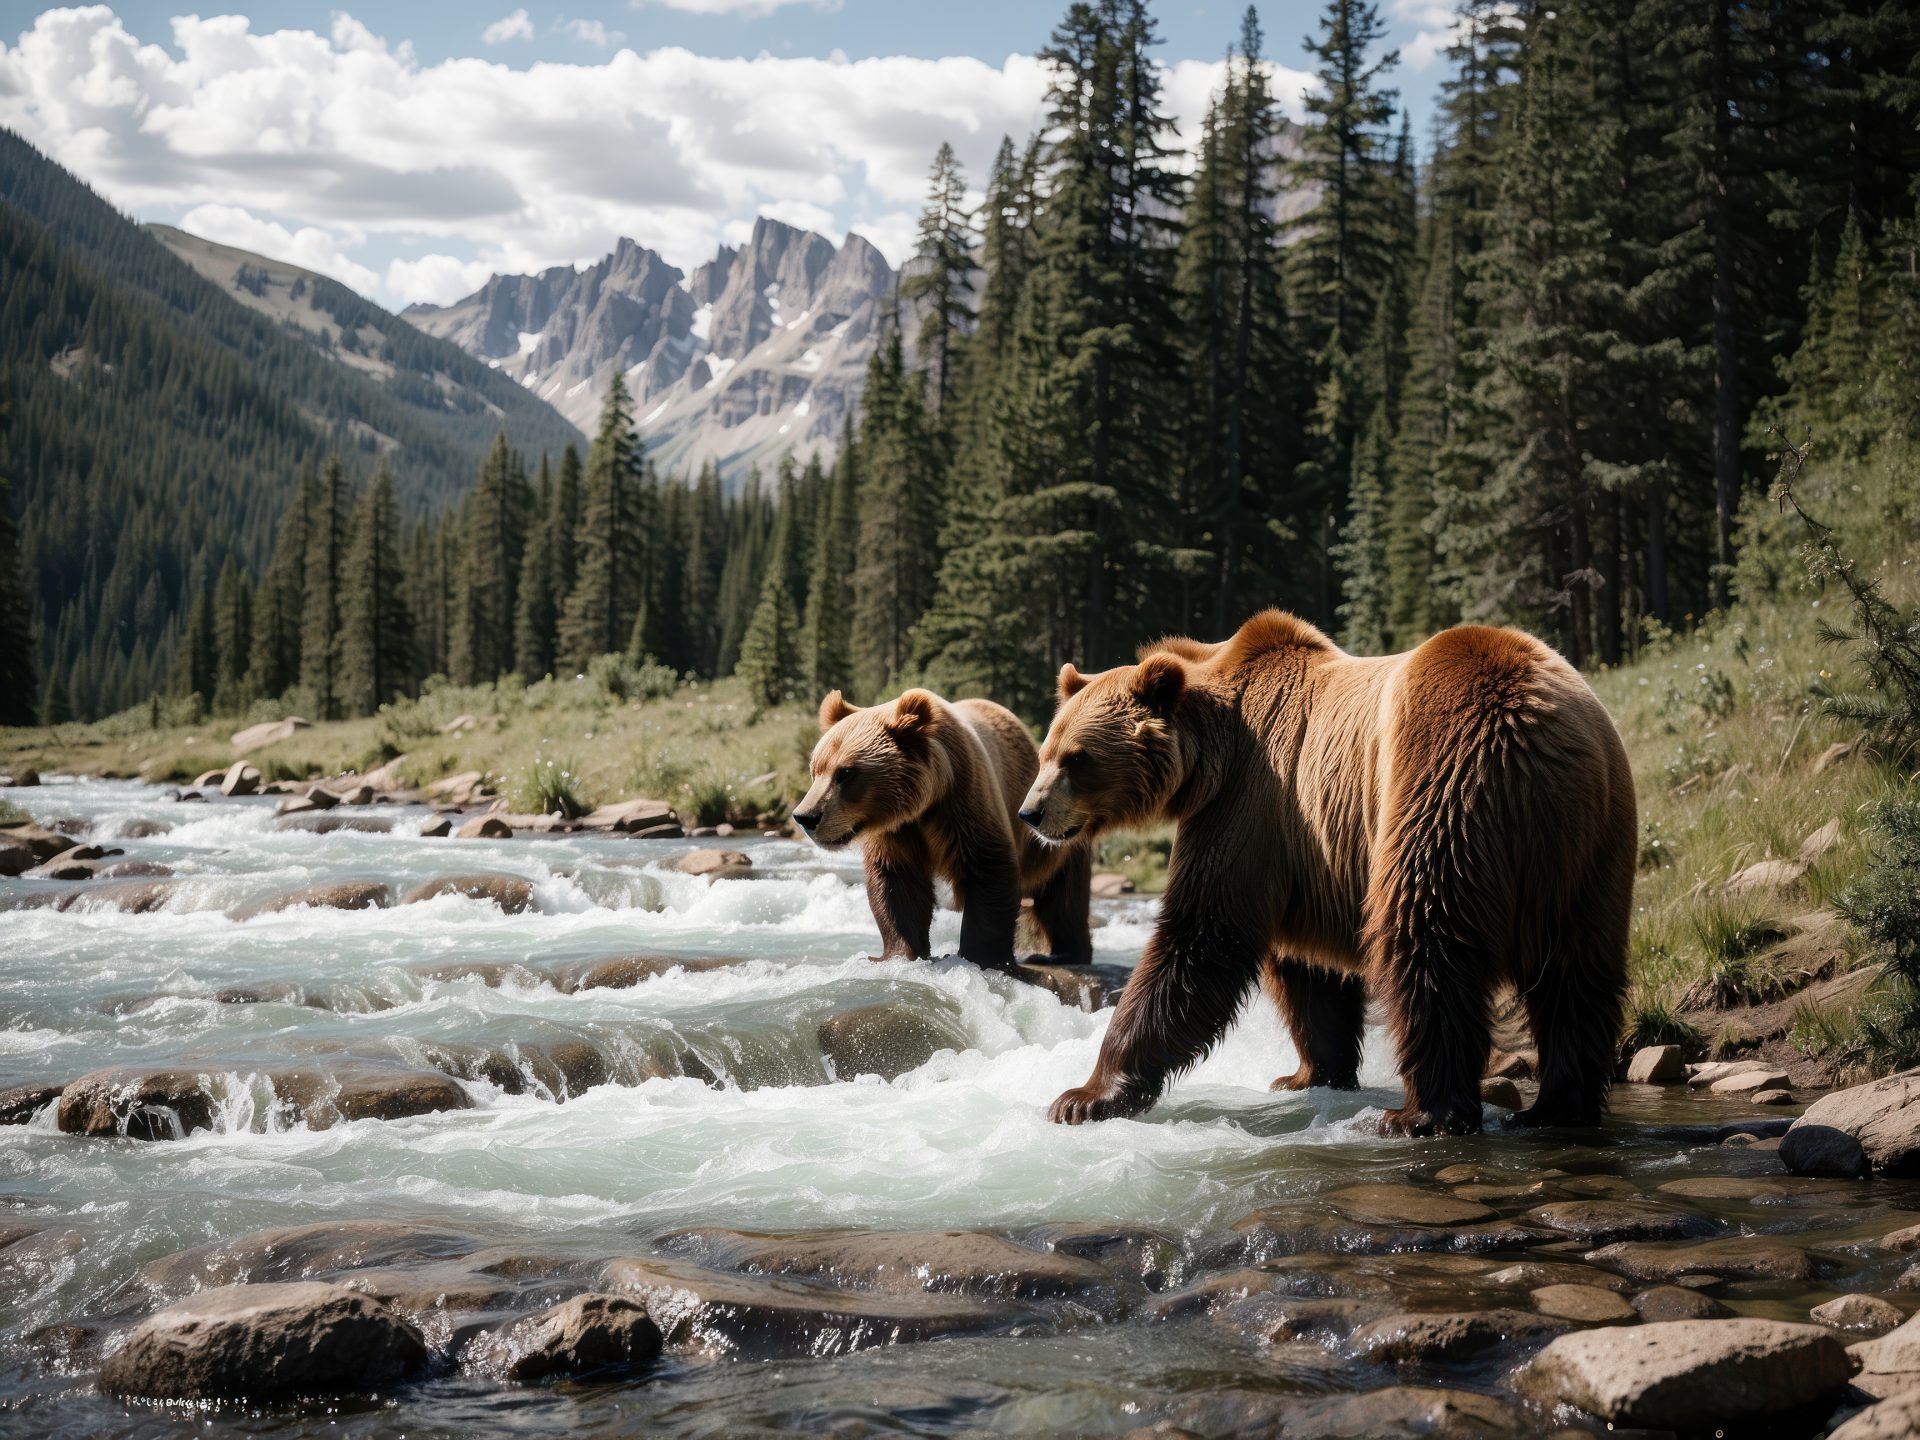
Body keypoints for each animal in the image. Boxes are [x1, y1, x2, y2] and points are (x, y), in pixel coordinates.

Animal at [793, 688, 1092, 967]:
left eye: (845, 772)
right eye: (815, 770)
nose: (805, 816)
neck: (922, 806)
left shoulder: (964, 804)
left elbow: (989, 870)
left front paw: (978, 956)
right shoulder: (896, 832)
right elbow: (896, 883)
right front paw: (897, 954)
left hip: (1052, 827)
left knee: (1063, 895)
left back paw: (1065, 953)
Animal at [1017, 610, 1635, 1137]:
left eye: (1077, 758)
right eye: (1045, 752)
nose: (1031, 812)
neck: (1207, 754)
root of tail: (1530, 732)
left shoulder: (1247, 800)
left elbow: (1202, 934)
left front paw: (1081, 1096)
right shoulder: (1306, 848)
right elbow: (1309, 970)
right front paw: (1308, 1074)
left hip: (1443, 783)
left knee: (1427, 940)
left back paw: (1421, 1113)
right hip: (1591, 842)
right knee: (1576, 971)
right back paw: (1558, 1106)